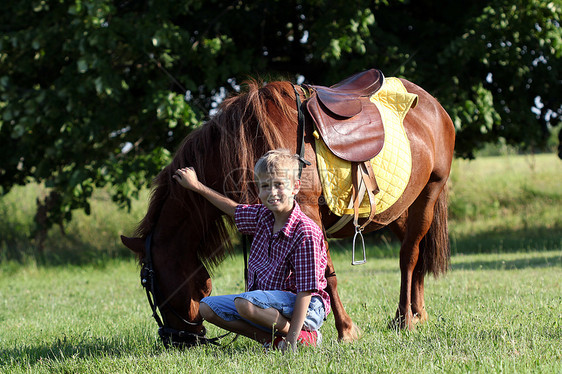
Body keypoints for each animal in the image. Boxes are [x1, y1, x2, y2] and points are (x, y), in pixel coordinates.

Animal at [120, 74, 452, 346]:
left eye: (150, 284)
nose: (176, 340)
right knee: (416, 252)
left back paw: (405, 319)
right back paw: (417, 313)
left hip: (429, 194)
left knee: (409, 256)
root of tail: (434, 105)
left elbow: (324, 275)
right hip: (397, 210)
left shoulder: (306, 209)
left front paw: (345, 330)